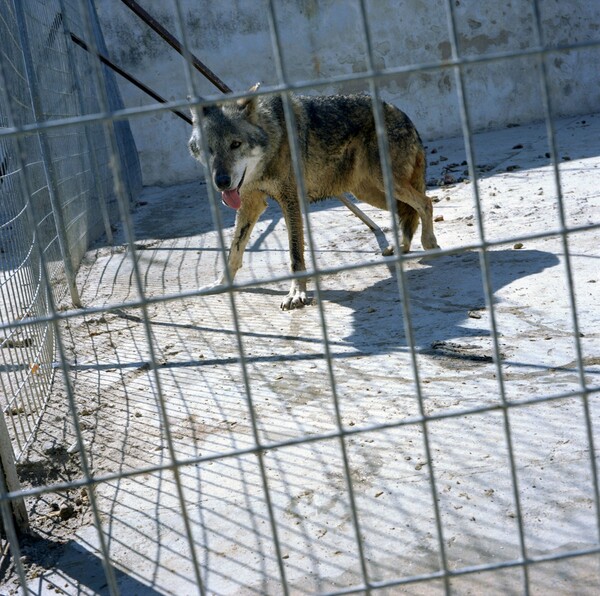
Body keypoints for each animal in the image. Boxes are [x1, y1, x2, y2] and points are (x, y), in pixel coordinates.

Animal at [189, 88, 440, 312]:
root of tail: (402, 113)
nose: (221, 181)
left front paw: (296, 294)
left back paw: (428, 243)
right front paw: (221, 284)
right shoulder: (251, 203)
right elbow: (234, 251)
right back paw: (402, 247)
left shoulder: (290, 201)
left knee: (425, 203)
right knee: (407, 210)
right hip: (369, 193)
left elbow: (295, 255)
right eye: (209, 149)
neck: (273, 136)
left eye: (235, 144)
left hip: (385, 184)